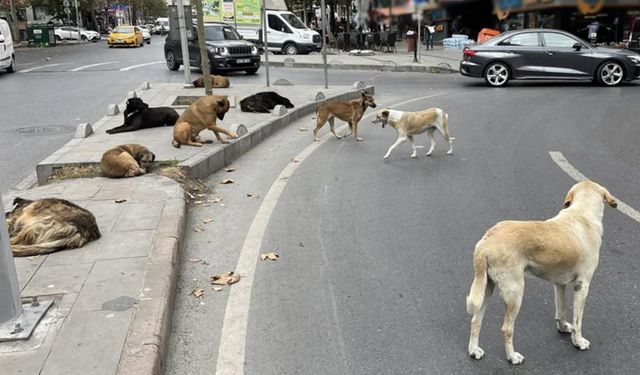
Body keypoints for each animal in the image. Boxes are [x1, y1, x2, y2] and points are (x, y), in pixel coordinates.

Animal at [468, 181, 616, 366]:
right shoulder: (582, 286)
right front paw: (578, 341)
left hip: (486, 288)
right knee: (506, 329)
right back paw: (512, 357)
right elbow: (578, 321)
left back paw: (474, 351)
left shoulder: (559, 284)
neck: (582, 213)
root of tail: (487, 241)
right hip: (515, 293)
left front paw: (563, 328)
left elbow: (561, 311)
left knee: (475, 320)